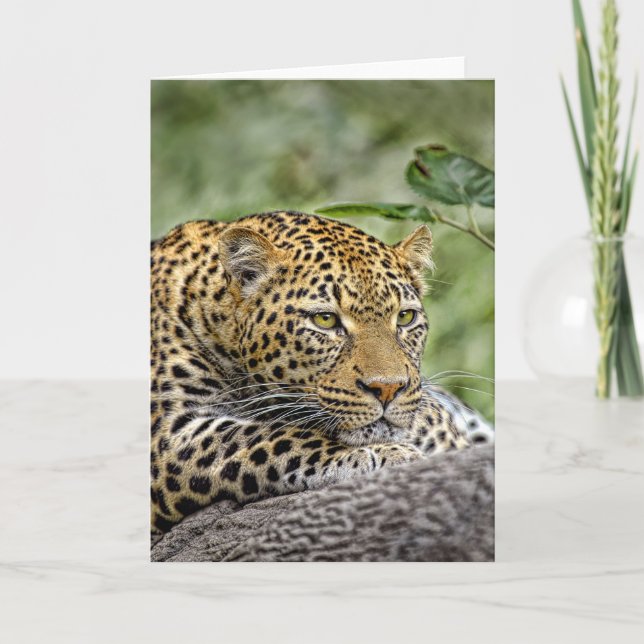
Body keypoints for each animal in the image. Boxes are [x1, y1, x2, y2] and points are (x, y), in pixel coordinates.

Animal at [150, 210, 492, 535]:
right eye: (325, 320)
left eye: (406, 317)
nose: (388, 389)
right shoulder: (166, 434)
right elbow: (270, 437)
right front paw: (390, 453)